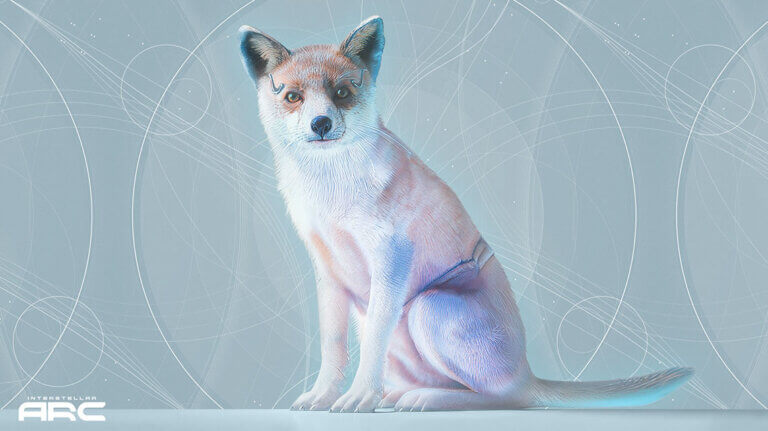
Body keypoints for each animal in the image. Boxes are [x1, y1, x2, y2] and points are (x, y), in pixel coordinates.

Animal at [238, 16, 693, 412]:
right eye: (292, 96)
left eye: (343, 93)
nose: (321, 124)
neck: (330, 188)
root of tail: (528, 373)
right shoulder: (328, 273)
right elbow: (332, 348)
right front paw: (323, 398)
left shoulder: (391, 259)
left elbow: (371, 349)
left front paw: (359, 399)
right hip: (377, 317)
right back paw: (400, 395)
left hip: (428, 307)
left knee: (505, 397)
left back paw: (422, 400)